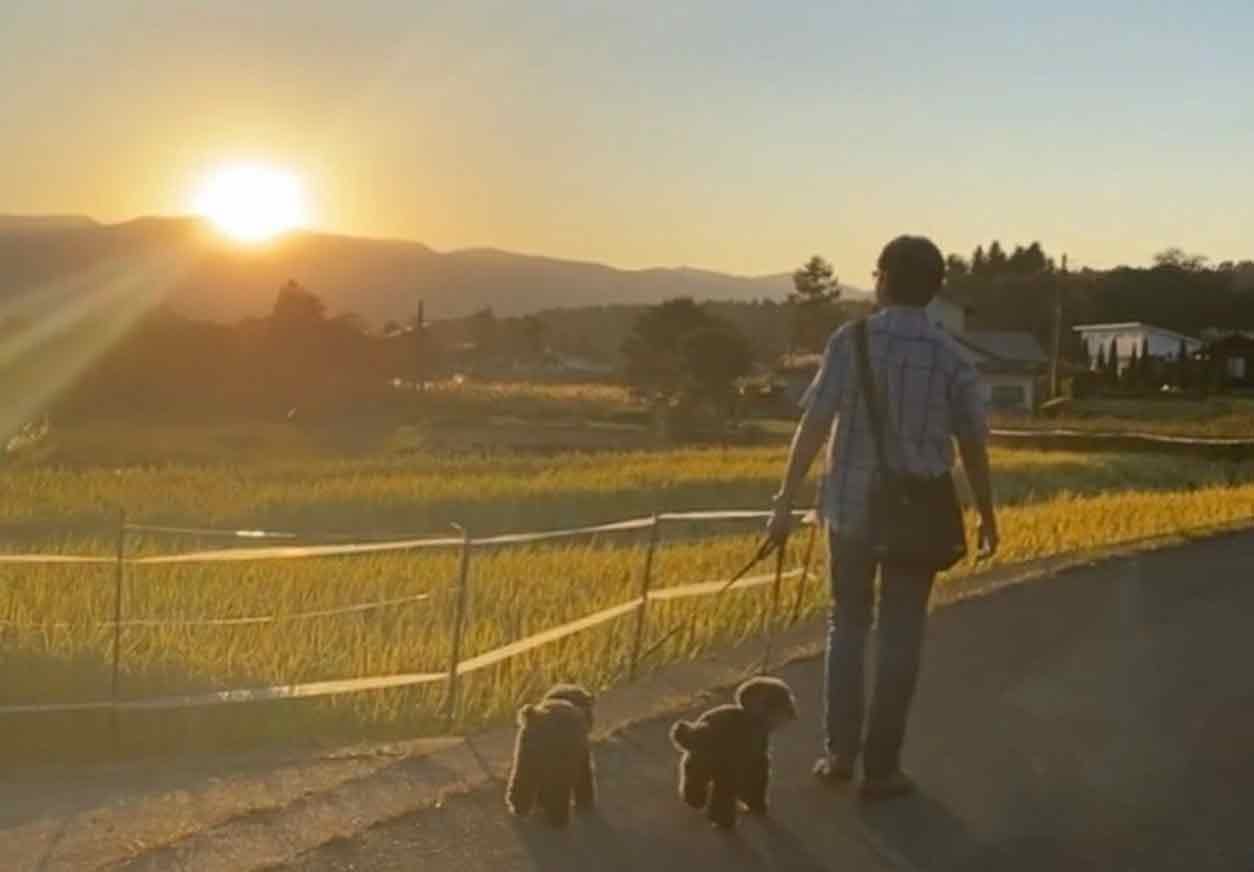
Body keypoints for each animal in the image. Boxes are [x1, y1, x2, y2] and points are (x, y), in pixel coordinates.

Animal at [504, 687, 596, 828]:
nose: (592, 720)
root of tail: (536, 717)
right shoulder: (581, 756)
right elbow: (584, 779)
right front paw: (585, 802)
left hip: (526, 758)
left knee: (522, 783)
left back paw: (518, 807)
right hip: (555, 762)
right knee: (556, 792)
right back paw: (559, 819)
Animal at [672, 677, 797, 828]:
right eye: (783, 699)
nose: (793, 712)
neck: (752, 716)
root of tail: (702, 731)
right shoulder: (753, 757)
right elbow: (756, 778)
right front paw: (756, 804)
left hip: (696, 765)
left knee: (696, 785)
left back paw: (696, 802)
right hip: (723, 770)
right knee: (723, 795)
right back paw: (723, 821)